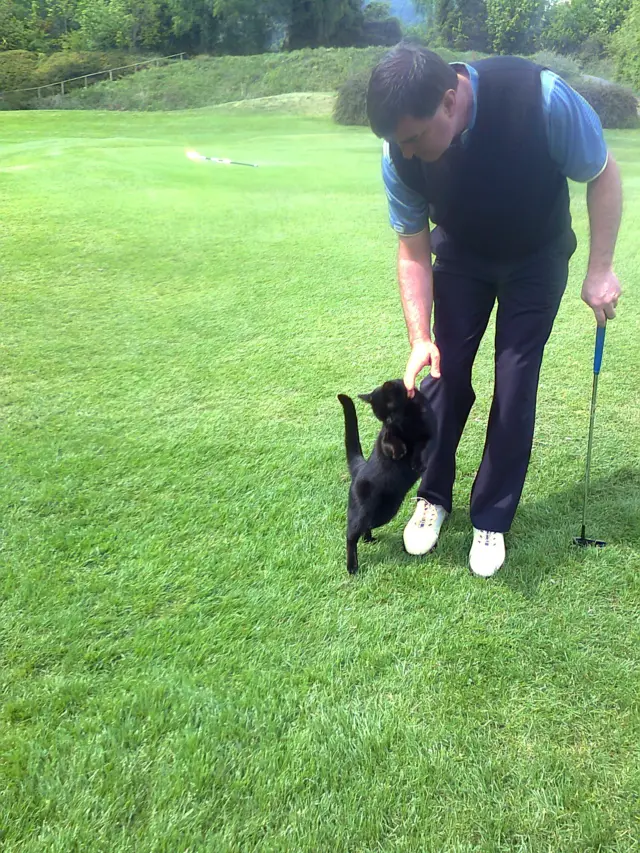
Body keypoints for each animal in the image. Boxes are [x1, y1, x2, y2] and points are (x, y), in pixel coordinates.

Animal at [336, 378, 436, 572]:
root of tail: (359, 468)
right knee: (350, 535)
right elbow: (388, 442)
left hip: (384, 512)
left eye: (390, 412)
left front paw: (417, 463)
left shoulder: (429, 433)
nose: (390, 422)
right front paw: (400, 451)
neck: (407, 421)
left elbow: (421, 446)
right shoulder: (385, 436)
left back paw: (368, 539)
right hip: (364, 510)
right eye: (381, 418)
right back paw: (352, 567)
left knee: (365, 527)